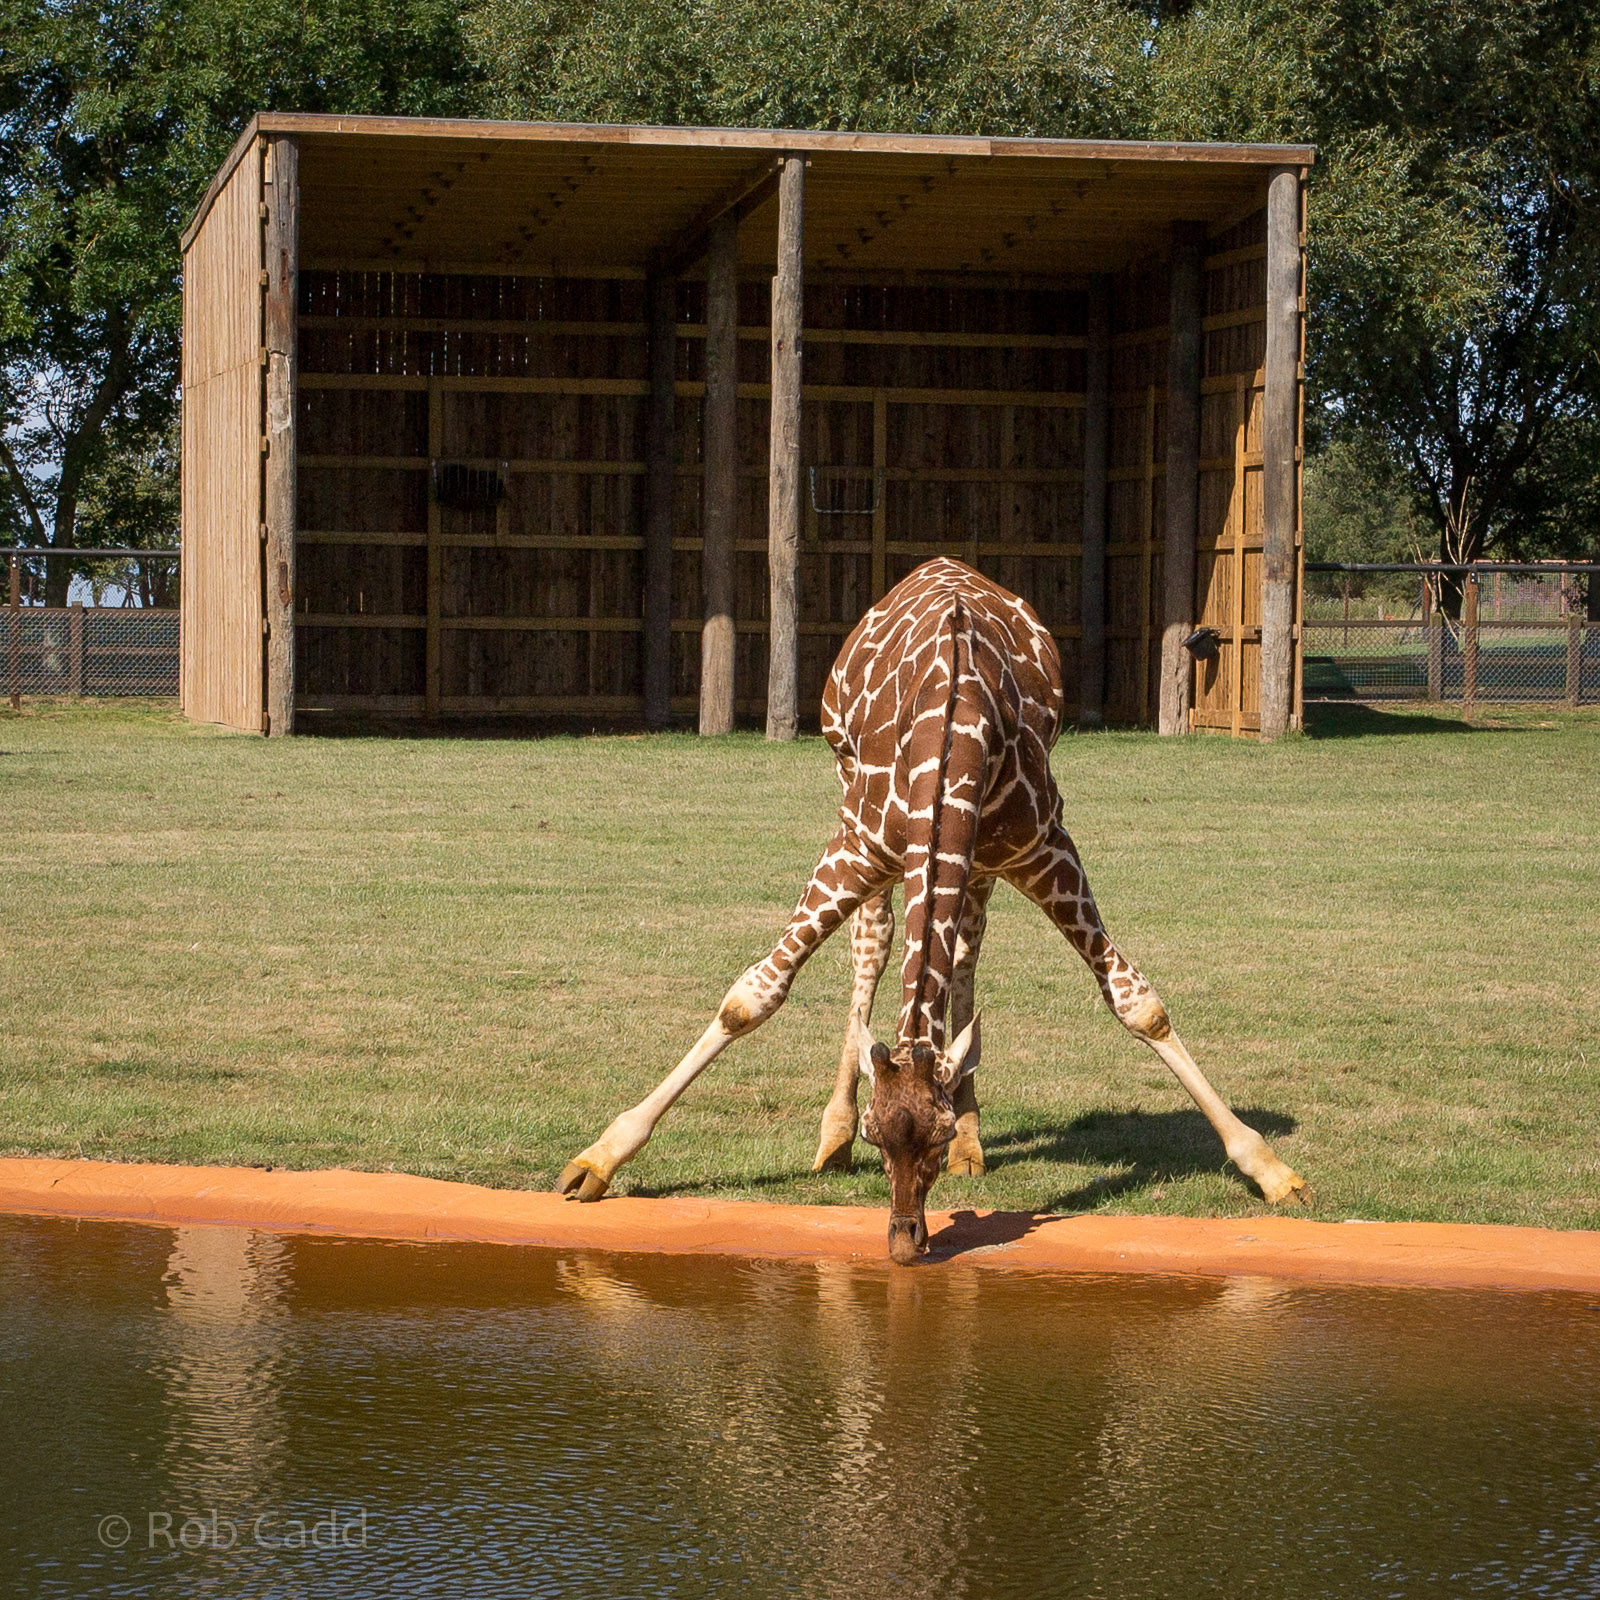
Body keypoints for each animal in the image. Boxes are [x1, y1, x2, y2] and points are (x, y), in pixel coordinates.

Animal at [556, 557, 1311, 1262]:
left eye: (935, 1133)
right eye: (876, 1135)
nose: (904, 1240)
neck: (954, 731)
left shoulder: (1042, 845)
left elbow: (1137, 1004)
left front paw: (1273, 1171)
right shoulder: (859, 845)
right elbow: (752, 997)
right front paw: (596, 1161)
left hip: (980, 861)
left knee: (967, 946)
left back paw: (976, 1144)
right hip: (855, 801)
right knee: (875, 944)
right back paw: (828, 1137)